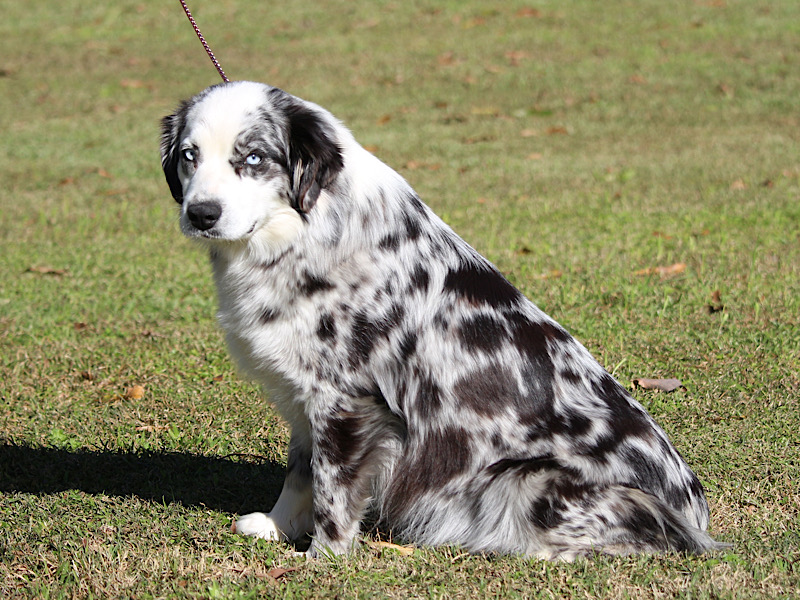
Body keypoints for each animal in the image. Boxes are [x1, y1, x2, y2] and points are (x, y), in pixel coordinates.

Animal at [160, 81, 724, 559]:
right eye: (190, 156)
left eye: (254, 158)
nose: (202, 214)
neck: (307, 226)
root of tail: (694, 510)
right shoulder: (305, 394)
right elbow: (301, 472)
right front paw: (278, 526)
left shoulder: (347, 398)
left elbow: (333, 488)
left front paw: (322, 557)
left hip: (526, 481)